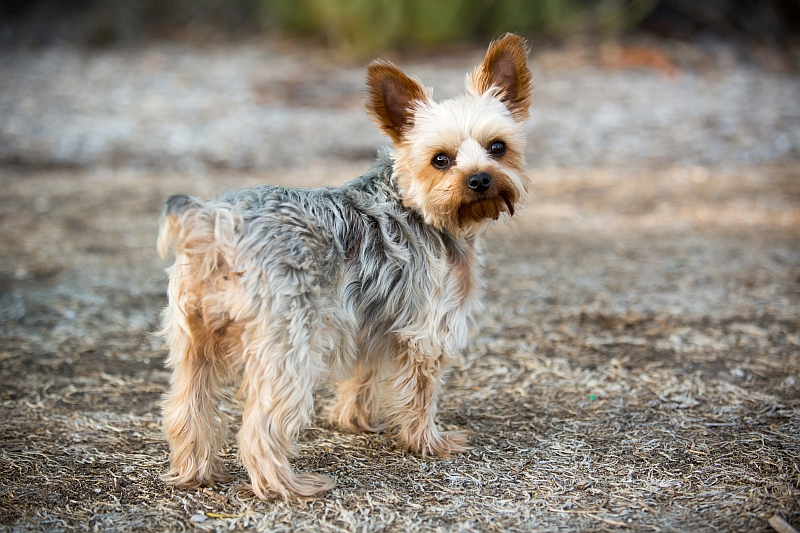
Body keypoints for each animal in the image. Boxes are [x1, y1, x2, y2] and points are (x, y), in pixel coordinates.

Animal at [156, 33, 532, 498]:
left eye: (498, 147)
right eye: (440, 159)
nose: (480, 179)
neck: (418, 206)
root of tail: (215, 224)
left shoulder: (372, 320)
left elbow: (363, 376)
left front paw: (354, 421)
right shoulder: (429, 329)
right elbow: (422, 393)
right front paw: (429, 442)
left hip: (193, 341)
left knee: (185, 407)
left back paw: (196, 473)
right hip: (289, 347)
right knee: (260, 426)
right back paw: (288, 486)